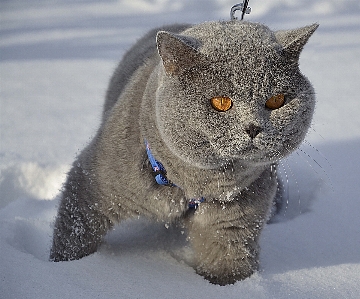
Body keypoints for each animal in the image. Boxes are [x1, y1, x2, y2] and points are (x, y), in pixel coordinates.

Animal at [50, 20, 318, 286]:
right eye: (221, 102)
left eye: (277, 100)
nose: (253, 127)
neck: (193, 184)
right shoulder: (92, 184)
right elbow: (72, 236)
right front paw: (61, 268)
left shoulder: (233, 225)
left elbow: (229, 269)